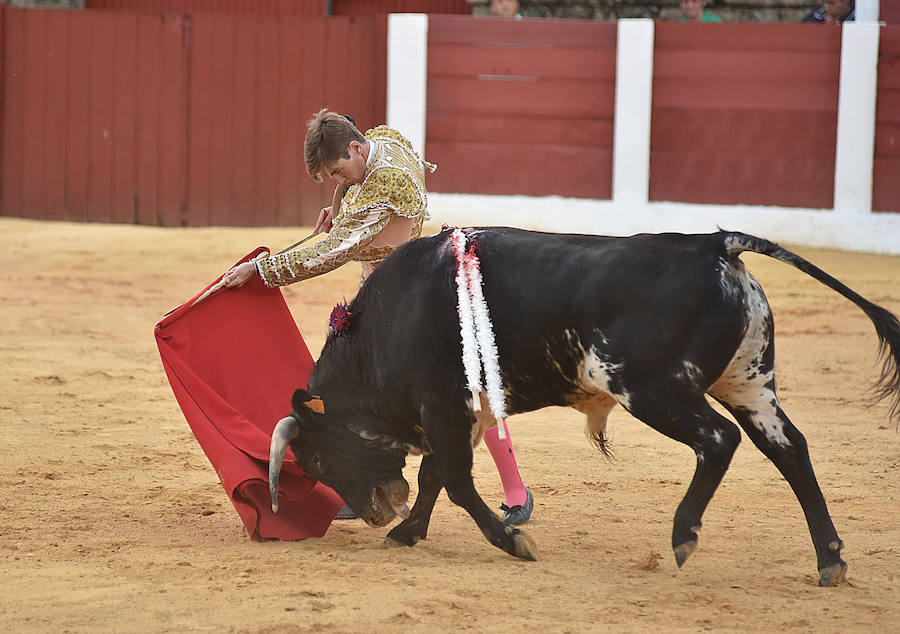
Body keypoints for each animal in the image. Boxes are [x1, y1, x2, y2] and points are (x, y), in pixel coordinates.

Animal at [268, 226, 900, 584]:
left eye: (317, 459)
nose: (373, 511)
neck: (384, 326)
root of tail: (714, 244)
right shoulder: (460, 411)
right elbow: (435, 478)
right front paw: (407, 534)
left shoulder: (442, 405)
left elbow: (457, 482)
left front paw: (513, 542)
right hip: (748, 383)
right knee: (790, 449)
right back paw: (830, 560)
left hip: (650, 387)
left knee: (718, 440)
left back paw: (684, 536)